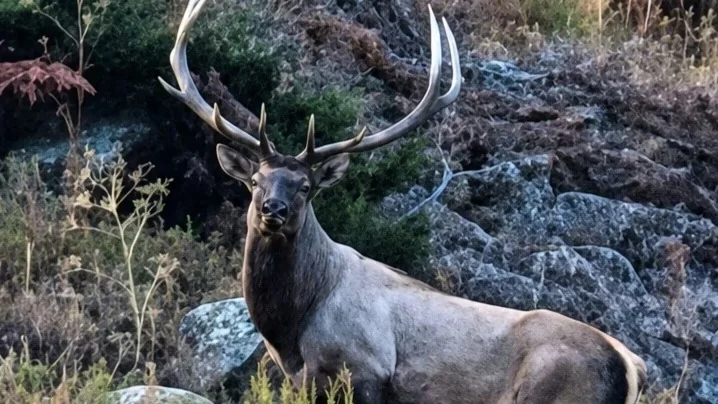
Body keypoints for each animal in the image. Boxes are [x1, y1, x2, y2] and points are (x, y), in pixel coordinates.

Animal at [159, 1, 648, 403]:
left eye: (306, 186)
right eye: (256, 181)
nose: (272, 211)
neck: (294, 331)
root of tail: (631, 365)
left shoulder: (366, 371)